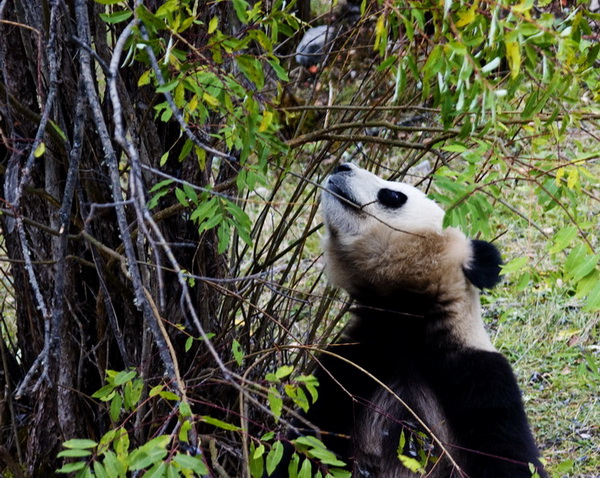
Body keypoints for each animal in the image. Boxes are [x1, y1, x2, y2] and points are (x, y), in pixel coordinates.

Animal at [270, 164, 548, 478]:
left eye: (393, 195)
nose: (343, 166)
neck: (407, 316)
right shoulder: (354, 364)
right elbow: (309, 436)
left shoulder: (476, 375)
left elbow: (507, 452)